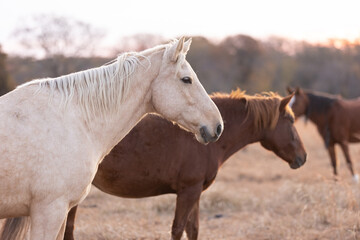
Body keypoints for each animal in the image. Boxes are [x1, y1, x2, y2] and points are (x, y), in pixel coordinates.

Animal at [63, 89, 306, 240]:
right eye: (291, 121)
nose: (302, 157)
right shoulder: (188, 191)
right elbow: (178, 229)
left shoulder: (195, 192)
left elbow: (193, 229)